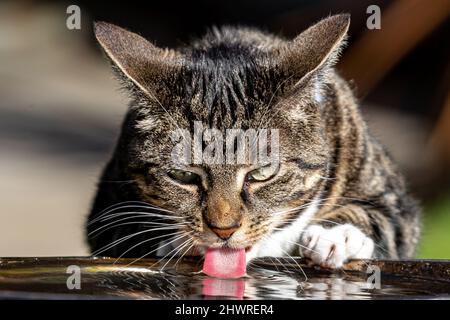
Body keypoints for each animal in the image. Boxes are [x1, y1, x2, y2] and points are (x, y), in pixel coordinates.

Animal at [87, 13, 422, 276]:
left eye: (262, 174)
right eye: (183, 176)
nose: (223, 230)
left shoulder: (390, 194)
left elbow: (382, 217)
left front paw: (336, 237)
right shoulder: (105, 209)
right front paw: (180, 241)